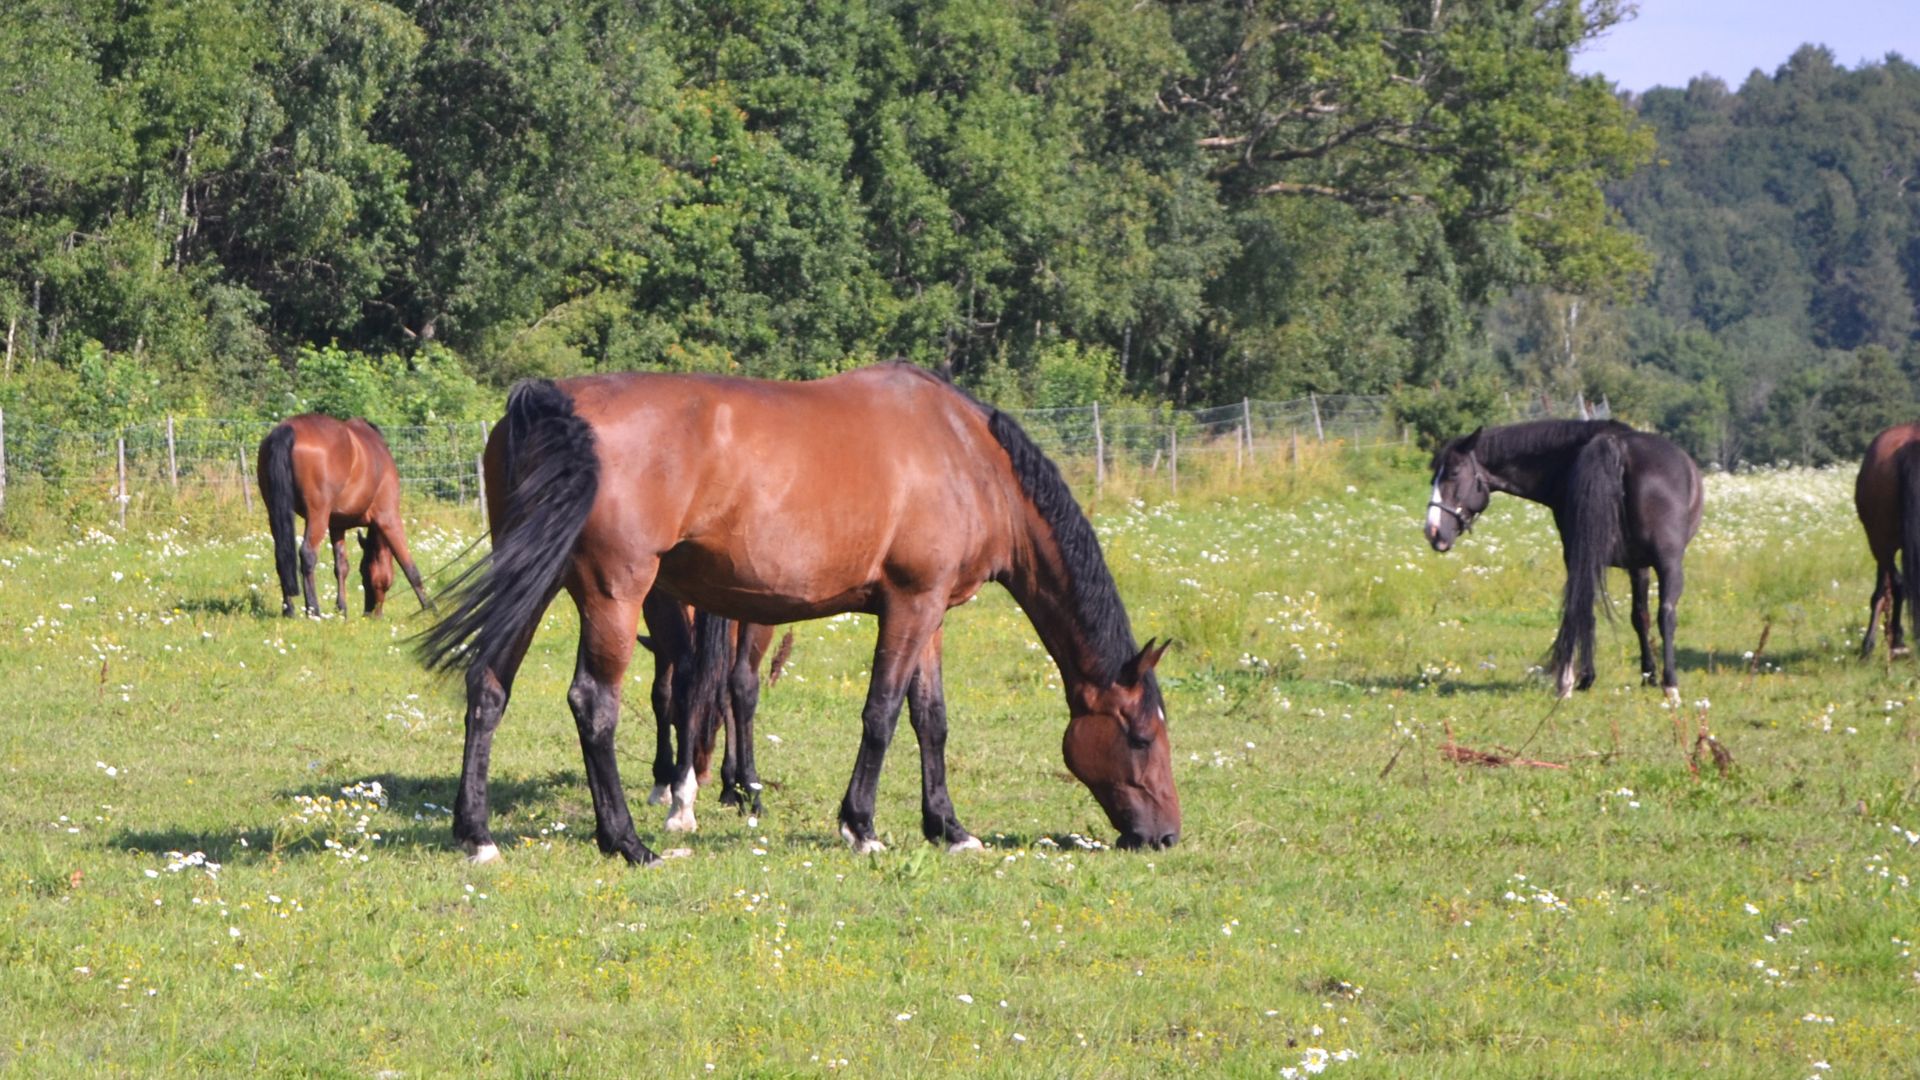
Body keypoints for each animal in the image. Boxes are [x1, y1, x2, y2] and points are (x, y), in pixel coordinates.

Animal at [258, 414, 434, 619]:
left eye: (364, 570)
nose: (369, 613)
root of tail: (288, 428)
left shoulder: (337, 526)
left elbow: (341, 566)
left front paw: (341, 609)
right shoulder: (388, 519)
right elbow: (408, 565)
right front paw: (430, 608)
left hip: (276, 512)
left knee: (282, 555)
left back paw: (289, 610)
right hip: (318, 515)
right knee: (307, 554)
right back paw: (313, 611)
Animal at [418, 363, 1180, 866]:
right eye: (1141, 736)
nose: (1167, 834)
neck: (967, 455)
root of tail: (552, 399)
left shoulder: (932, 612)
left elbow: (930, 720)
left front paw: (949, 827)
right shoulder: (909, 605)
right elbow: (882, 714)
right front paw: (861, 825)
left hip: (535, 579)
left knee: (489, 686)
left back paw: (477, 834)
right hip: (615, 592)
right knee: (593, 704)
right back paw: (627, 841)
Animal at [1423, 419, 1703, 700]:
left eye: (1453, 474)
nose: (1432, 532)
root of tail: (1616, 448)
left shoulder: (1623, 562)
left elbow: (1634, 616)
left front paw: (1644, 675)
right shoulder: (1631, 564)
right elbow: (1638, 617)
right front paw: (1647, 675)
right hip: (1665, 563)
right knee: (1665, 615)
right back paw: (1669, 685)